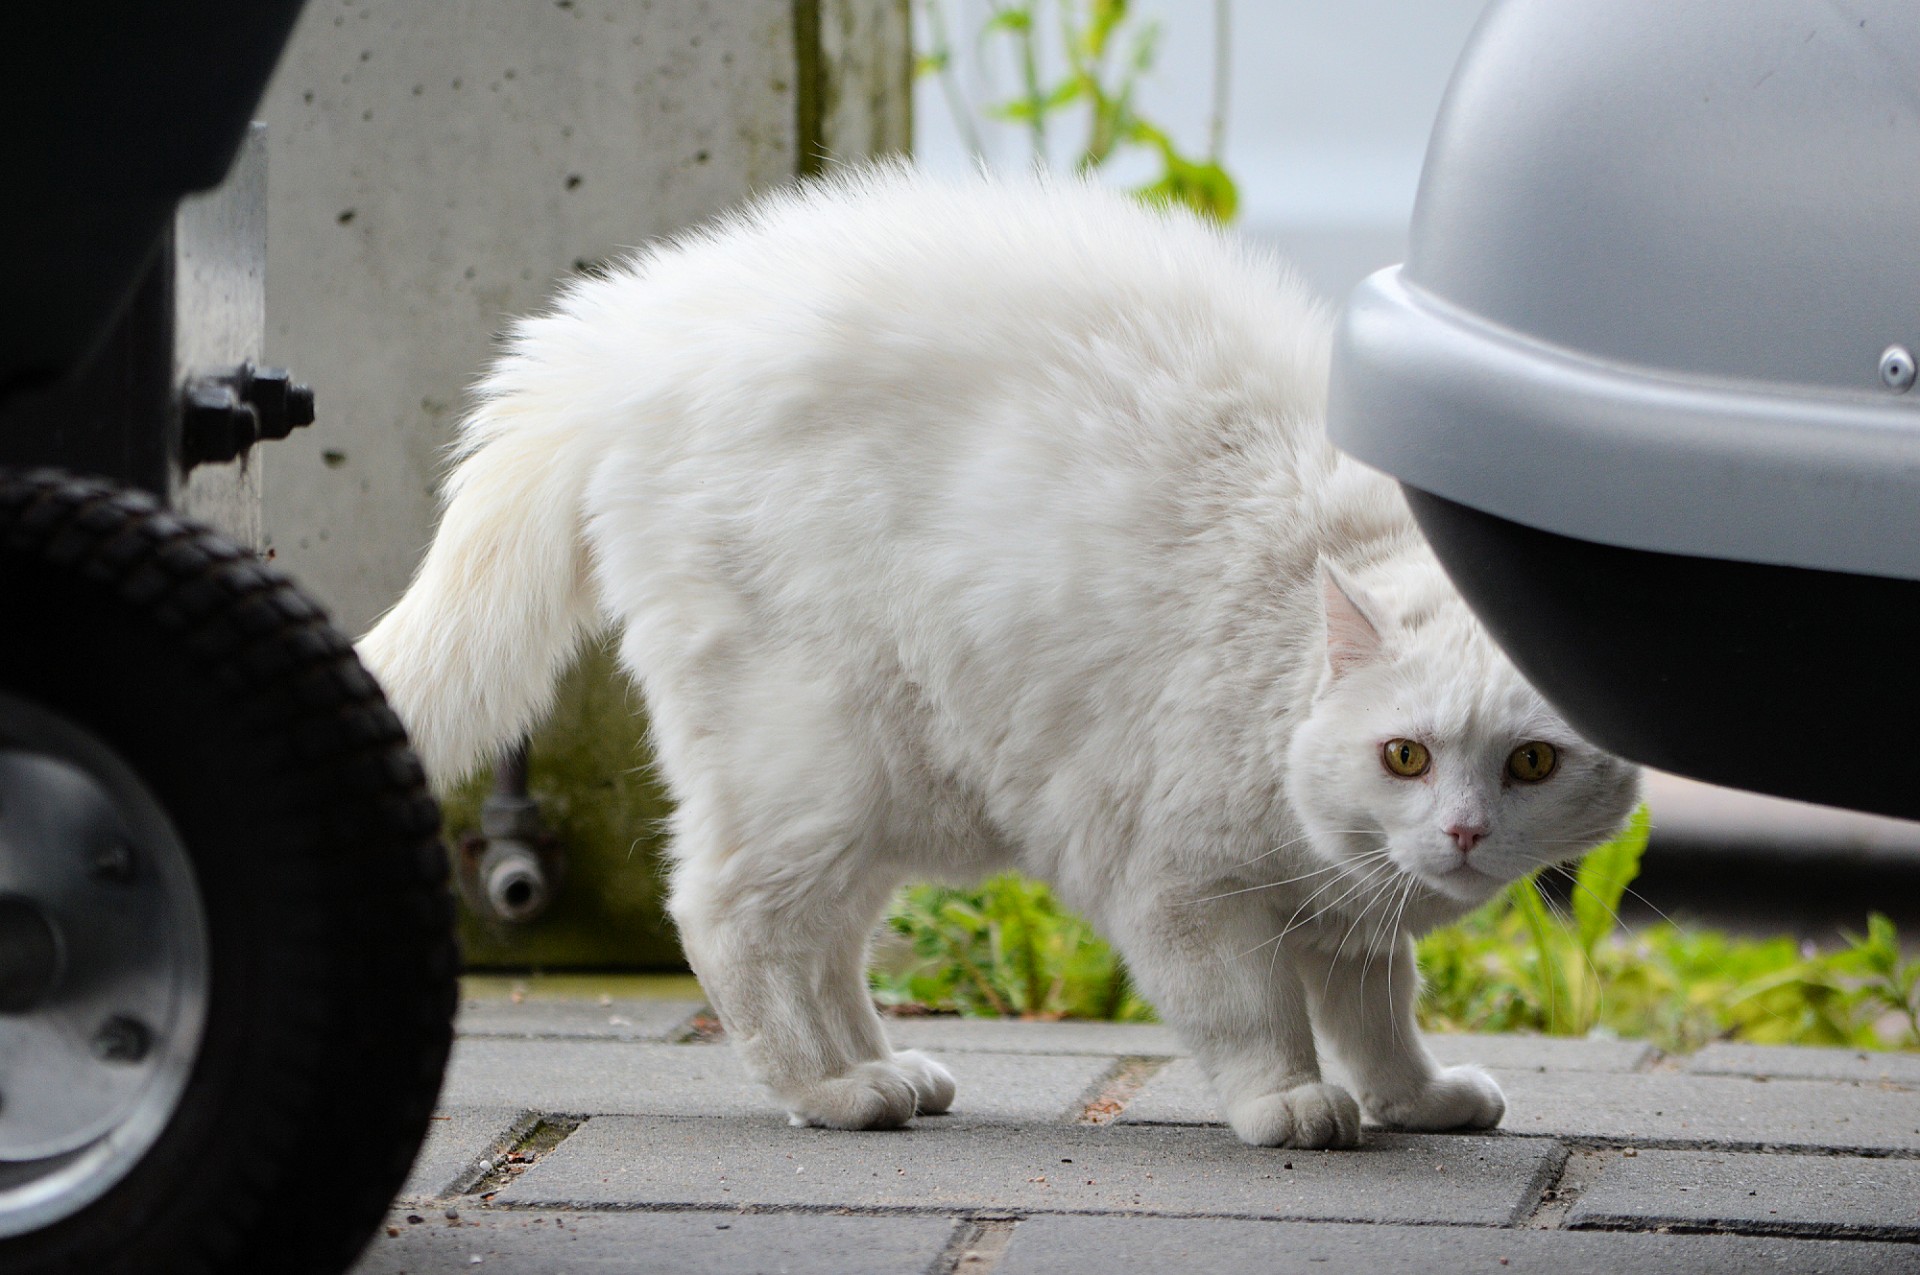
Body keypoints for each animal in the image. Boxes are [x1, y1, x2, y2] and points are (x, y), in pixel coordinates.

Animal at [360, 164, 1635, 1152]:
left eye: (1529, 765)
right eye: (1406, 755)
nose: (1464, 834)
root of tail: (623, 331)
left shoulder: (1346, 917)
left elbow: (1381, 1014)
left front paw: (1413, 1098)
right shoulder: (1175, 888)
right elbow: (1251, 1016)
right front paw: (1289, 1103)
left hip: (877, 795)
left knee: (819, 946)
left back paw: (882, 1072)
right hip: (814, 770)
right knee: (729, 919)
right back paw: (832, 1092)